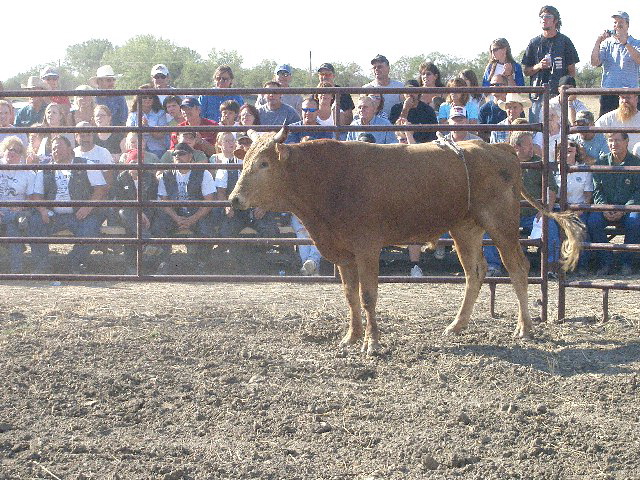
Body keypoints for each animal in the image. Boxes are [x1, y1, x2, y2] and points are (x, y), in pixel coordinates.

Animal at [230, 129, 584, 354]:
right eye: (244, 162)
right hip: (465, 228)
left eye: (264, 163)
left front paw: (372, 343)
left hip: (501, 223)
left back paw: (524, 328)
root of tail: (499, 149)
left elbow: (368, 295)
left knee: (517, 268)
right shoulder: (343, 252)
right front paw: (351, 336)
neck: (328, 178)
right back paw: (457, 325)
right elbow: (350, 296)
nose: (234, 199)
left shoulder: (367, 246)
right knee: (475, 272)